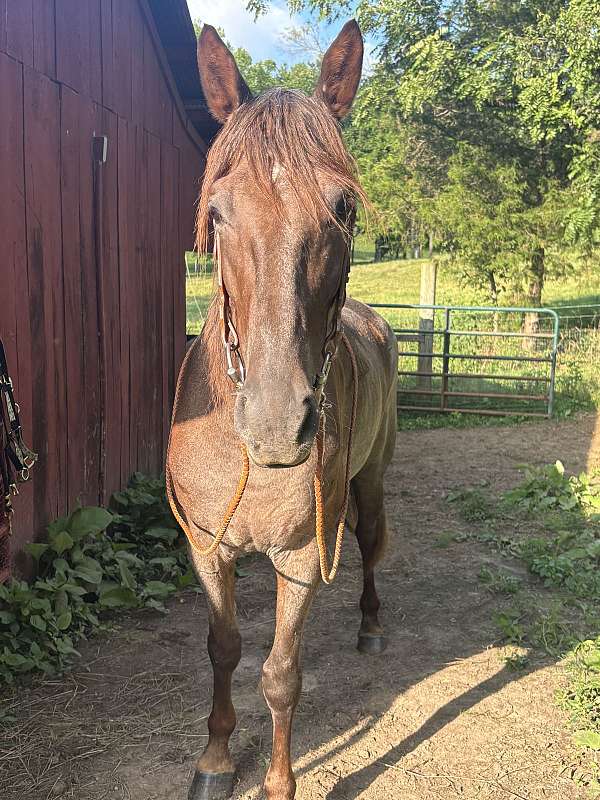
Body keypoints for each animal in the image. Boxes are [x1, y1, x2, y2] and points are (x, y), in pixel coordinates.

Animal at [166, 20, 398, 800]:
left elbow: (281, 674)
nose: (274, 426)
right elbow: (223, 646)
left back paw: (371, 627)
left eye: (344, 207)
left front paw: (278, 780)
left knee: (371, 545)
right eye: (216, 214)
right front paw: (214, 759)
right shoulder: (208, 548)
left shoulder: (298, 557)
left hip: (370, 481)